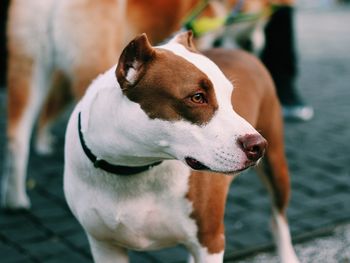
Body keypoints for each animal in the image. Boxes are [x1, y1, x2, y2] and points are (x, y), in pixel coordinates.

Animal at [63, 32, 298, 262]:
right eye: (197, 97)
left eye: (230, 96)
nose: (258, 144)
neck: (134, 166)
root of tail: (241, 52)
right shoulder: (105, 246)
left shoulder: (210, 241)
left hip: (276, 166)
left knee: (278, 219)